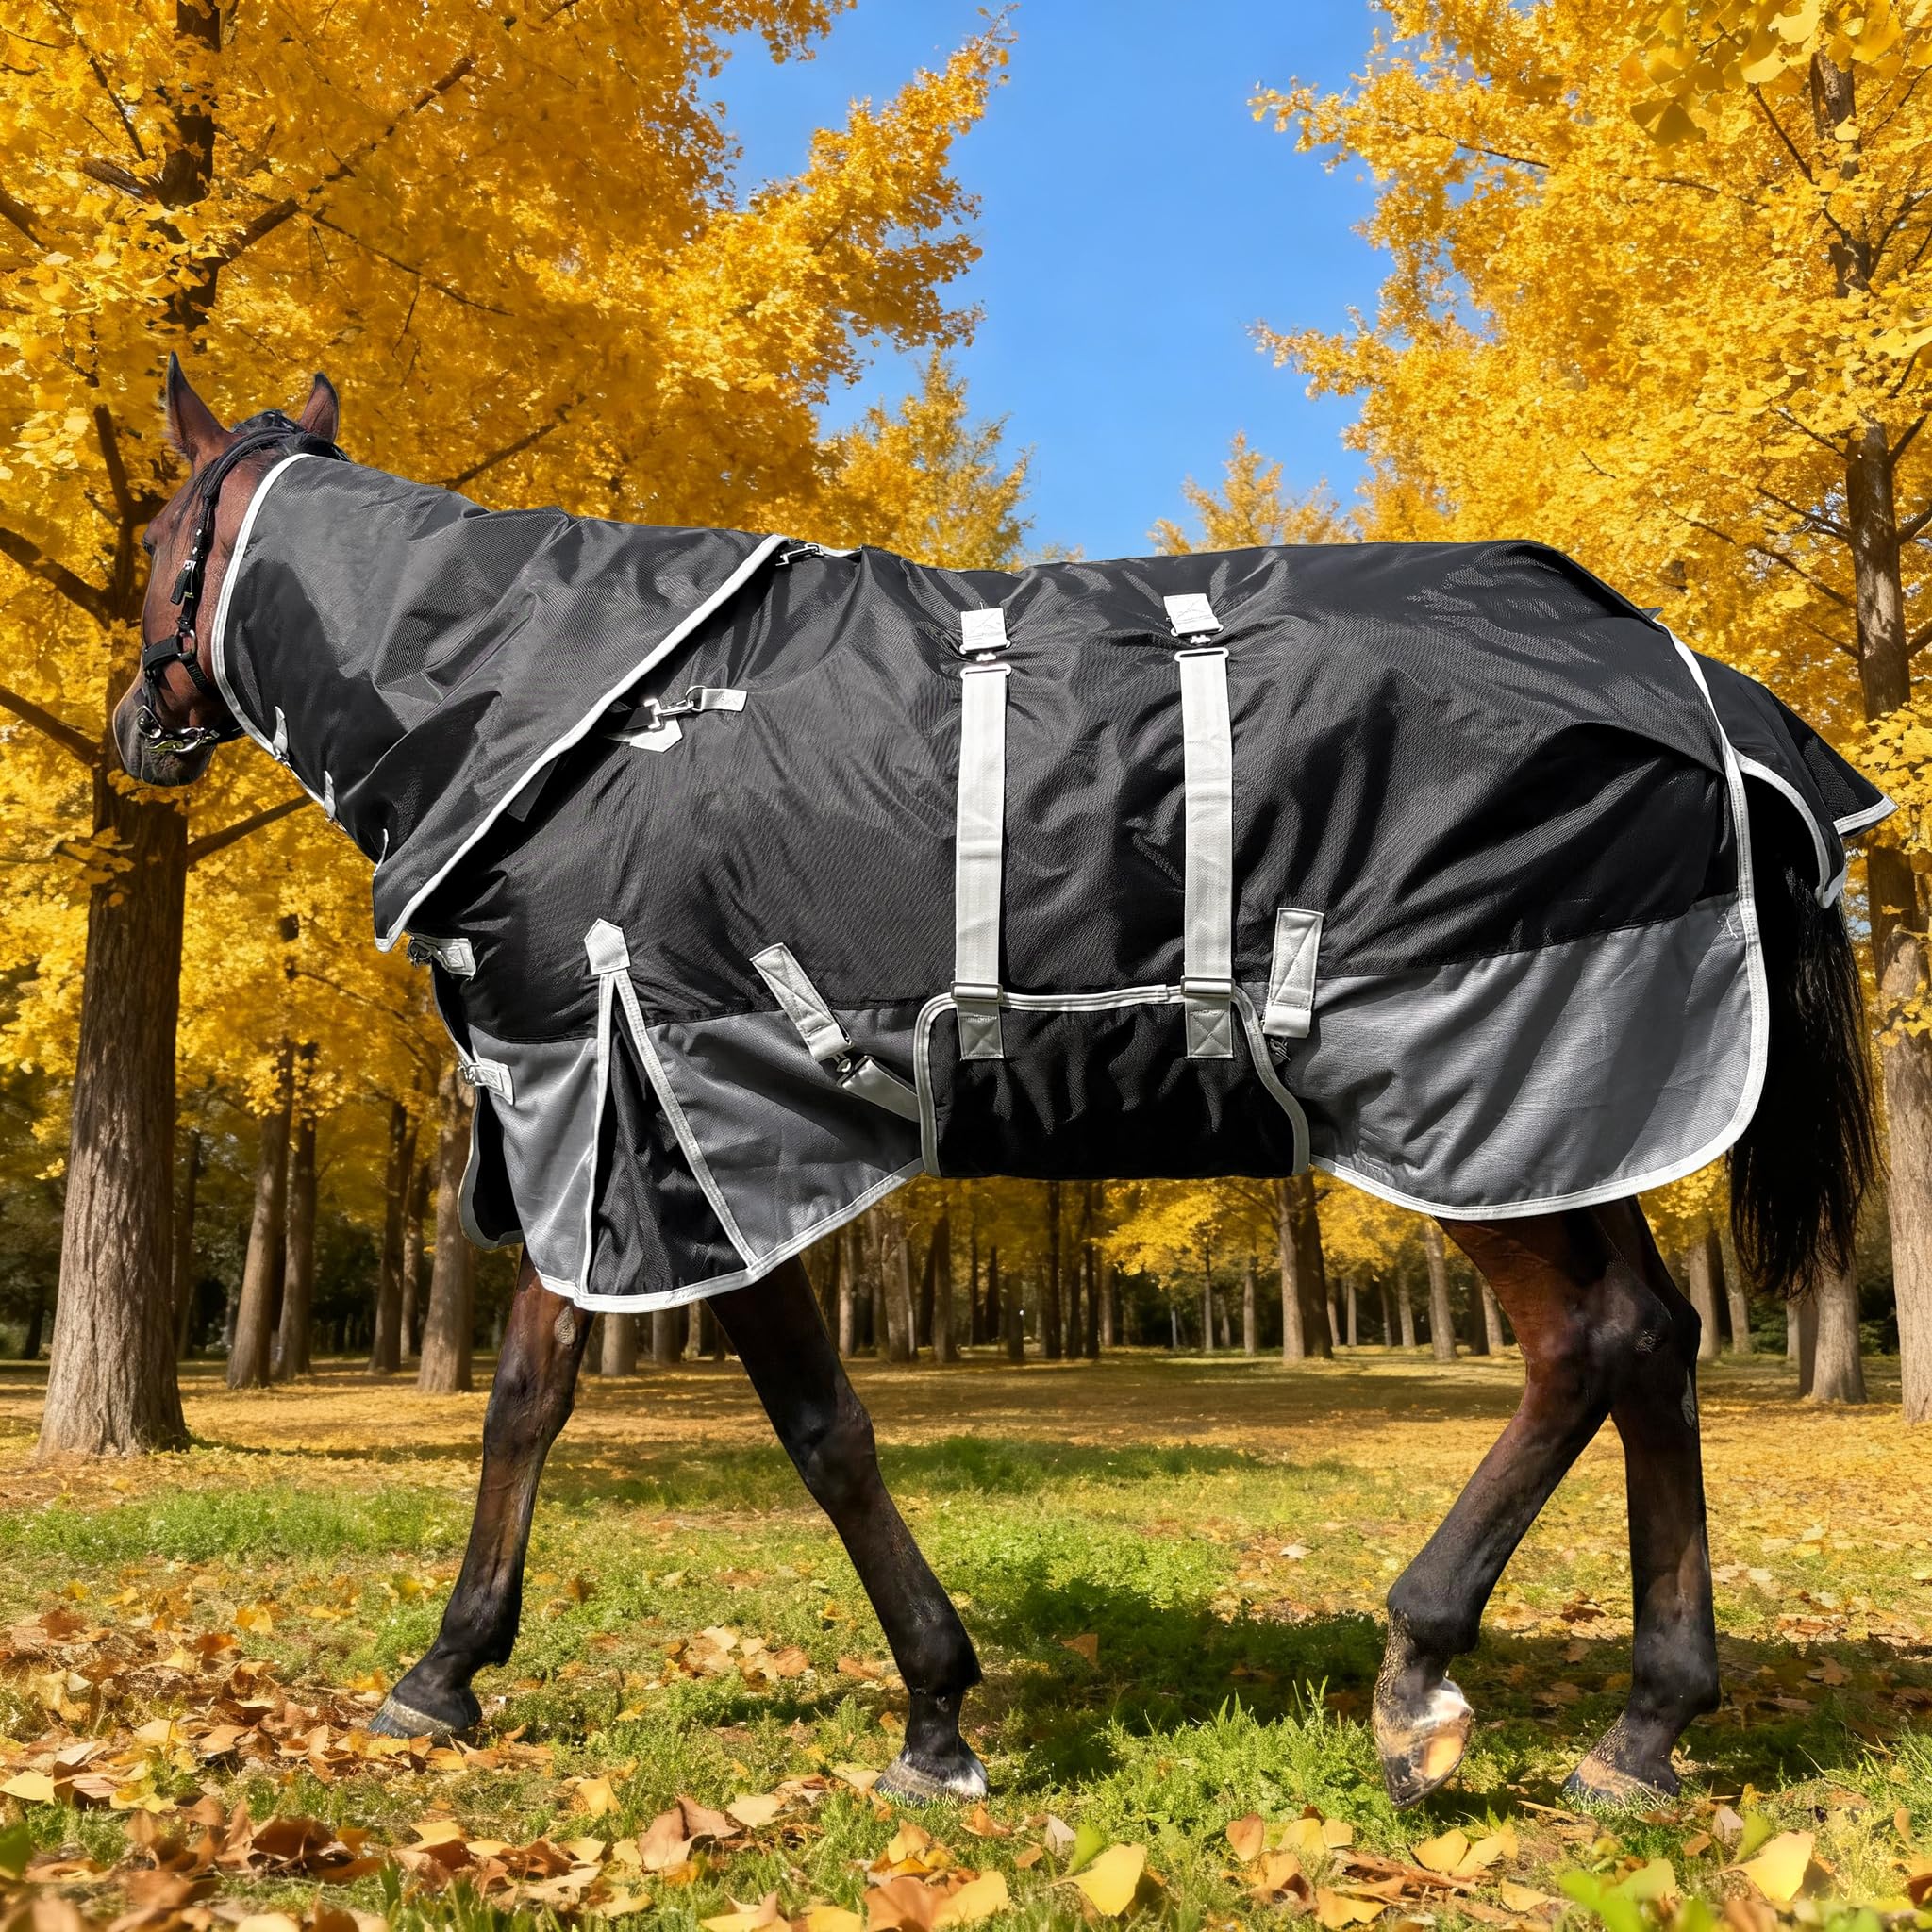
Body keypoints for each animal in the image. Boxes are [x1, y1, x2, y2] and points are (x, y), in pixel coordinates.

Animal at [115, 357, 1880, 1811]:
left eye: (156, 534)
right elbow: (526, 1399)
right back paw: (1644, 1727)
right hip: (1562, 1123)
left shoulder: (693, 1121)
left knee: (1587, 1344)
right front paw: (445, 1670)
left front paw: (934, 1713)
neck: (571, 717)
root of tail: (1703, 695)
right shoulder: (604, 1115)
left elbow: (820, 1427)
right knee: (1655, 1343)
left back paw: (1420, 1676)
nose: (138, 722)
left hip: (1466, 1097)